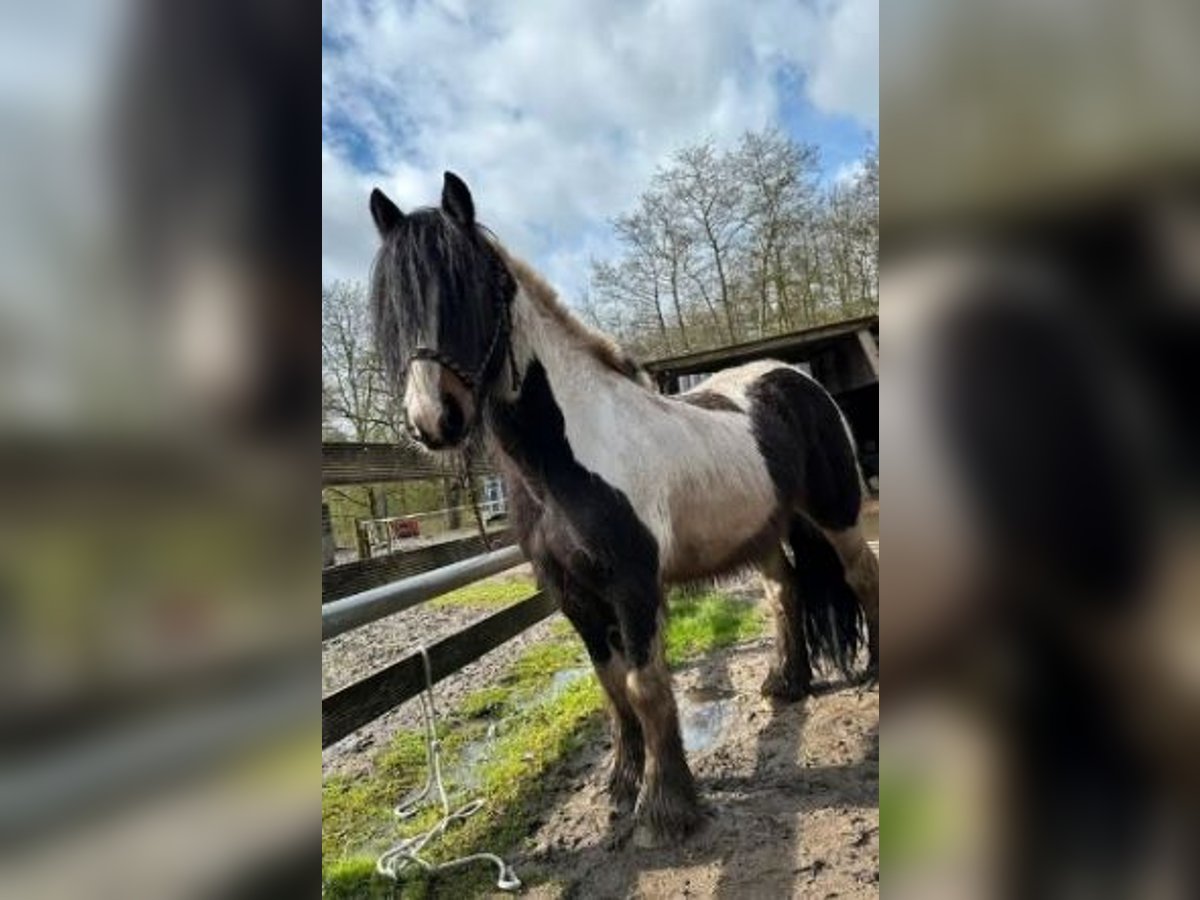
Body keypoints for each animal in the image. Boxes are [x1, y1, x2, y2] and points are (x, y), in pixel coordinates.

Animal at [367, 172, 883, 849]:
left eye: (472, 286)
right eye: (394, 307)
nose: (434, 420)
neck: (563, 461)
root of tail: (792, 377)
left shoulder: (633, 586)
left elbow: (645, 685)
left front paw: (664, 807)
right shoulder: (573, 595)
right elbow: (611, 686)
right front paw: (621, 781)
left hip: (837, 511)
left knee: (863, 576)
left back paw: (873, 670)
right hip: (766, 529)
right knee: (785, 592)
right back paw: (786, 683)